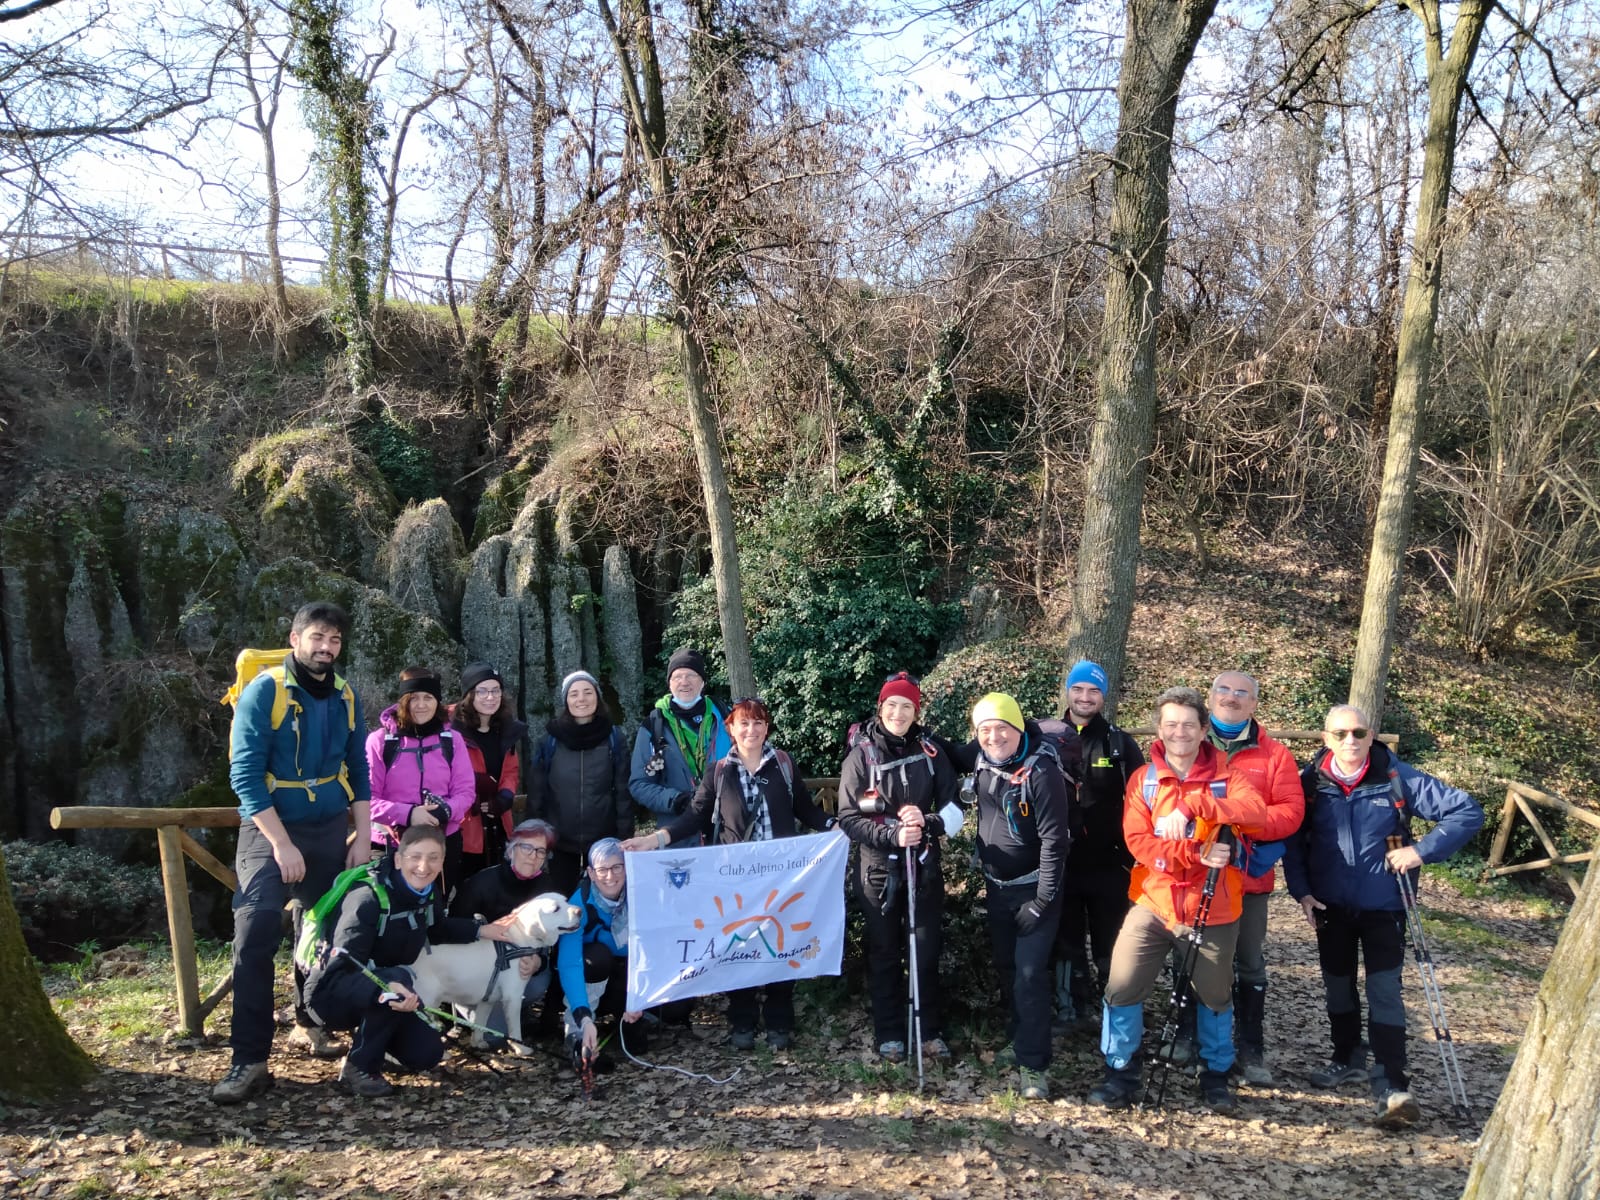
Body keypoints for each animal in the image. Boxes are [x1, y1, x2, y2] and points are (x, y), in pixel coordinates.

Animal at [406, 889, 582, 1056]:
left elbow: (480, 1022)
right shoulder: (513, 996)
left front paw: (477, 1042)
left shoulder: (487, 999)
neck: (517, 939)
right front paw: (521, 1048)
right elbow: (514, 1028)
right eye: (556, 909)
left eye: (566, 901)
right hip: (425, 1000)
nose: (580, 911)